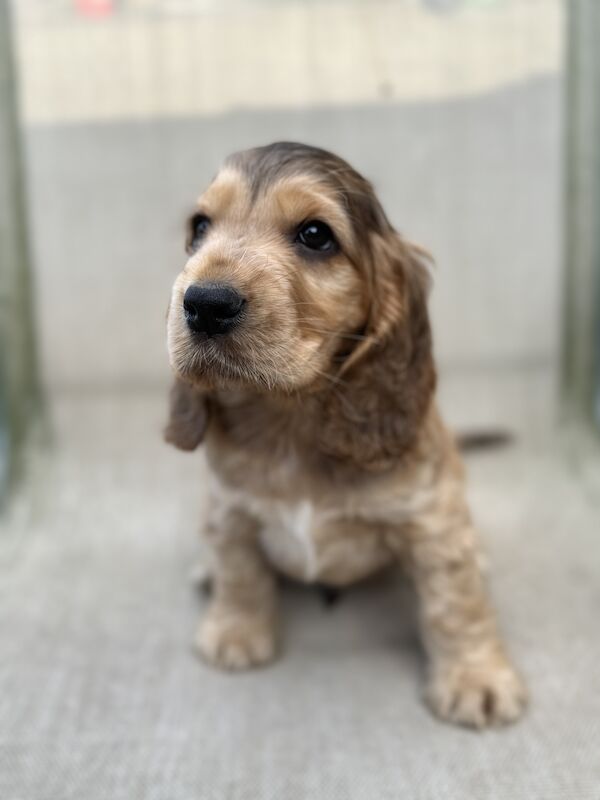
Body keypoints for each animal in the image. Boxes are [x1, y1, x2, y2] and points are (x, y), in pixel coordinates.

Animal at [164, 141, 524, 728]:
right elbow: (240, 570)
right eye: (199, 227)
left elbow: (455, 603)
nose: (205, 303)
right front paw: (234, 631)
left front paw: (476, 679)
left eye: (315, 234)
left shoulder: (432, 521)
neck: (291, 419)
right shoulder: (229, 506)